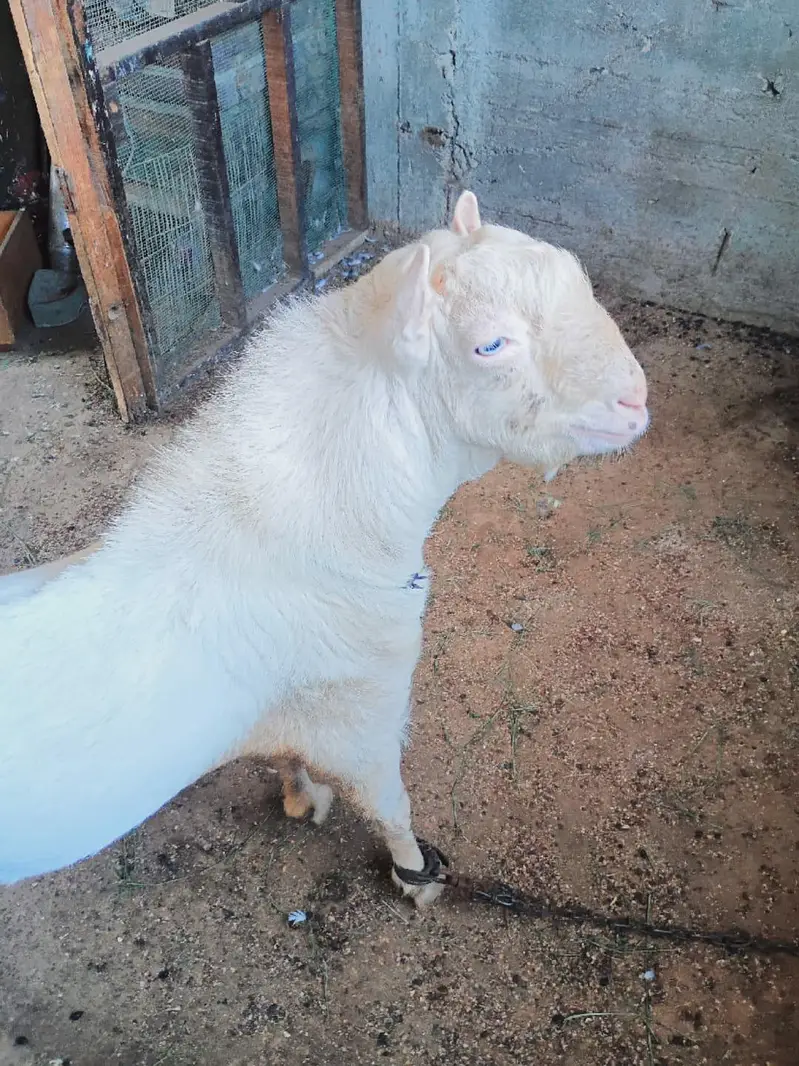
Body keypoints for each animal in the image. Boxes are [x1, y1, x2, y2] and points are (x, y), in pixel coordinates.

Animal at [0, 192, 649, 905]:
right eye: (490, 344)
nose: (636, 399)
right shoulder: (360, 714)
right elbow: (390, 807)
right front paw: (416, 876)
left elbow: (290, 759)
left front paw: (299, 797)